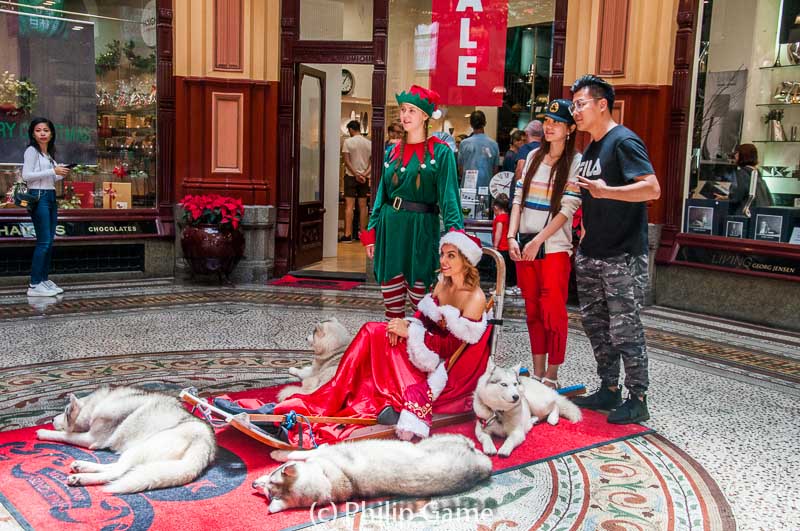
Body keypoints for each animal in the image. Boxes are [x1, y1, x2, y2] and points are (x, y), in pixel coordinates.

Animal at [35, 386, 216, 494]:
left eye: (66, 411)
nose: (52, 419)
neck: (98, 404)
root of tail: (204, 444)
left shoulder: (91, 439)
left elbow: (65, 436)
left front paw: (43, 432)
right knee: (118, 468)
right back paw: (82, 466)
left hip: (141, 448)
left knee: (117, 472)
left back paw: (81, 478)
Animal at [252, 434, 494, 512]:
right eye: (267, 494)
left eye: (273, 474)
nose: (254, 485)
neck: (328, 479)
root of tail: (480, 470)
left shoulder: (324, 451)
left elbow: (298, 453)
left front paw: (278, 452)